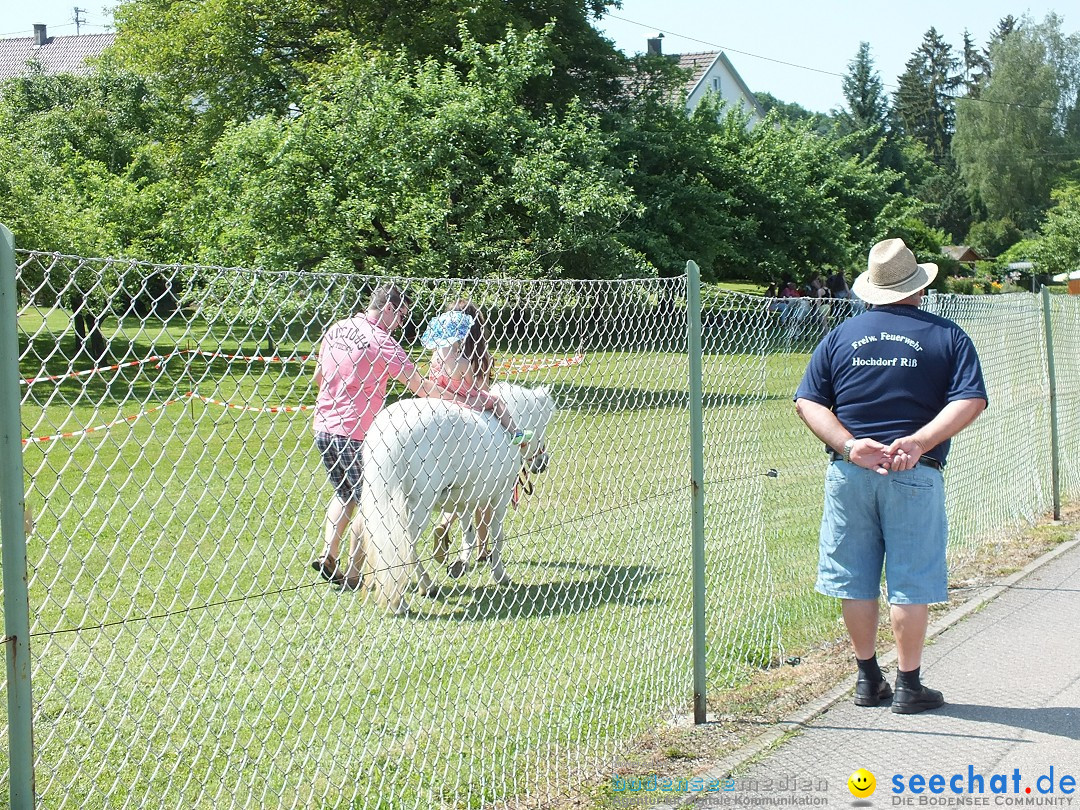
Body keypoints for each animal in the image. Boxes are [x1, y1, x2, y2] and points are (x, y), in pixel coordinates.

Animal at [358, 384, 557, 613]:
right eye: (543, 425)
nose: (542, 462)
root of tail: (392, 435)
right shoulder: (500, 498)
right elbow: (497, 535)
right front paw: (500, 574)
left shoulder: (464, 500)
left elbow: (468, 533)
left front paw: (461, 564)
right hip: (417, 509)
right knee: (405, 546)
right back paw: (405, 598)